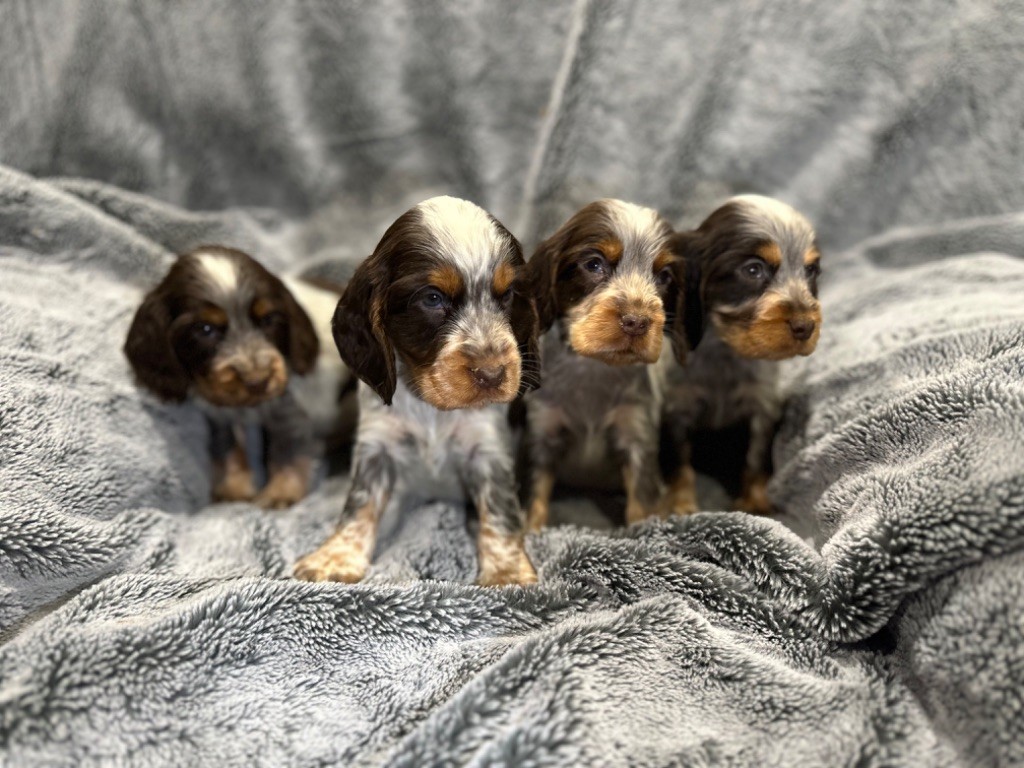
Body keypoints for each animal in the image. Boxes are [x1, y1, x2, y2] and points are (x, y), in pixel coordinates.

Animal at [122, 247, 348, 512]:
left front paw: (281, 492)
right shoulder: (219, 412)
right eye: (205, 329)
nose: (258, 381)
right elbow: (227, 447)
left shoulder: (286, 408)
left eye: (269, 319)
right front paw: (233, 489)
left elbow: (285, 451)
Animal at [292, 196, 540, 589]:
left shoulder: (488, 450)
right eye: (433, 298)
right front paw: (335, 557)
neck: (433, 410)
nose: (492, 374)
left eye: (509, 295)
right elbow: (359, 505)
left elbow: (500, 510)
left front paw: (508, 571)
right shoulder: (377, 447)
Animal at [524, 201, 700, 532]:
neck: (596, 368)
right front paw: (529, 534)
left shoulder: (637, 434)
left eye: (664, 276)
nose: (637, 321)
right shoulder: (541, 433)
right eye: (594, 265)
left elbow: (643, 503)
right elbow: (533, 497)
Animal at [663, 193, 823, 518]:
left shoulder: (763, 406)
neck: (726, 352)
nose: (806, 326)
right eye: (753, 270)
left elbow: (756, 455)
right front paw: (679, 504)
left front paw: (755, 501)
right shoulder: (676, 406)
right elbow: (679, 462)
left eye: (811, 270)